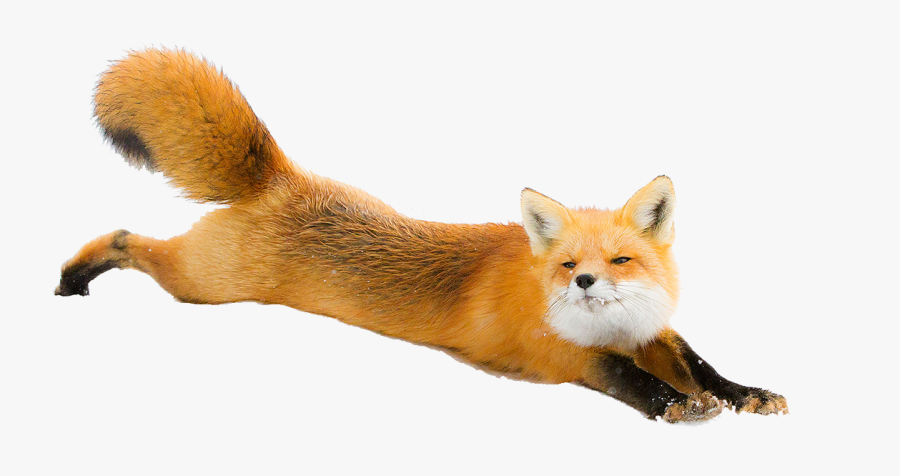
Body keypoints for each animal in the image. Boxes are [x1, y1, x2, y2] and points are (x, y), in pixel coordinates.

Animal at [56, 48, 787, 422]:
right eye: (567, 264)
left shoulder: (651, 333)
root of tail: (280, 178)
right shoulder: (561, 354)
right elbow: (623, 376)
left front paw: (742, 393)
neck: (607, 325)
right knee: (125, 236)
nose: (584, 281)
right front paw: (673, 403)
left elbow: (702, 363)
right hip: (203, 284)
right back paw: (74, 275)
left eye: (621, 259)